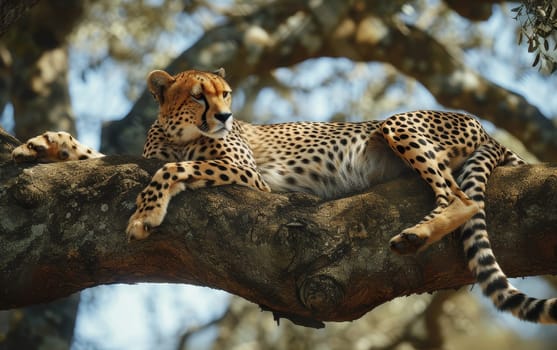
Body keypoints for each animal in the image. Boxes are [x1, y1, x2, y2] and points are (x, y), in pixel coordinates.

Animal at [13, 67, 556, 322]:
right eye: (198, 95)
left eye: (226, 94)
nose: (225, 116)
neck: (177, 131)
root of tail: (481, 124)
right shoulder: (142, 156)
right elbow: (95, 155)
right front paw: (40, 144)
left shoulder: (245, 173)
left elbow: (170, 168)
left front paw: (145, 216)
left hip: (398, 123)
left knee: (463, 199)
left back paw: (418, 234)